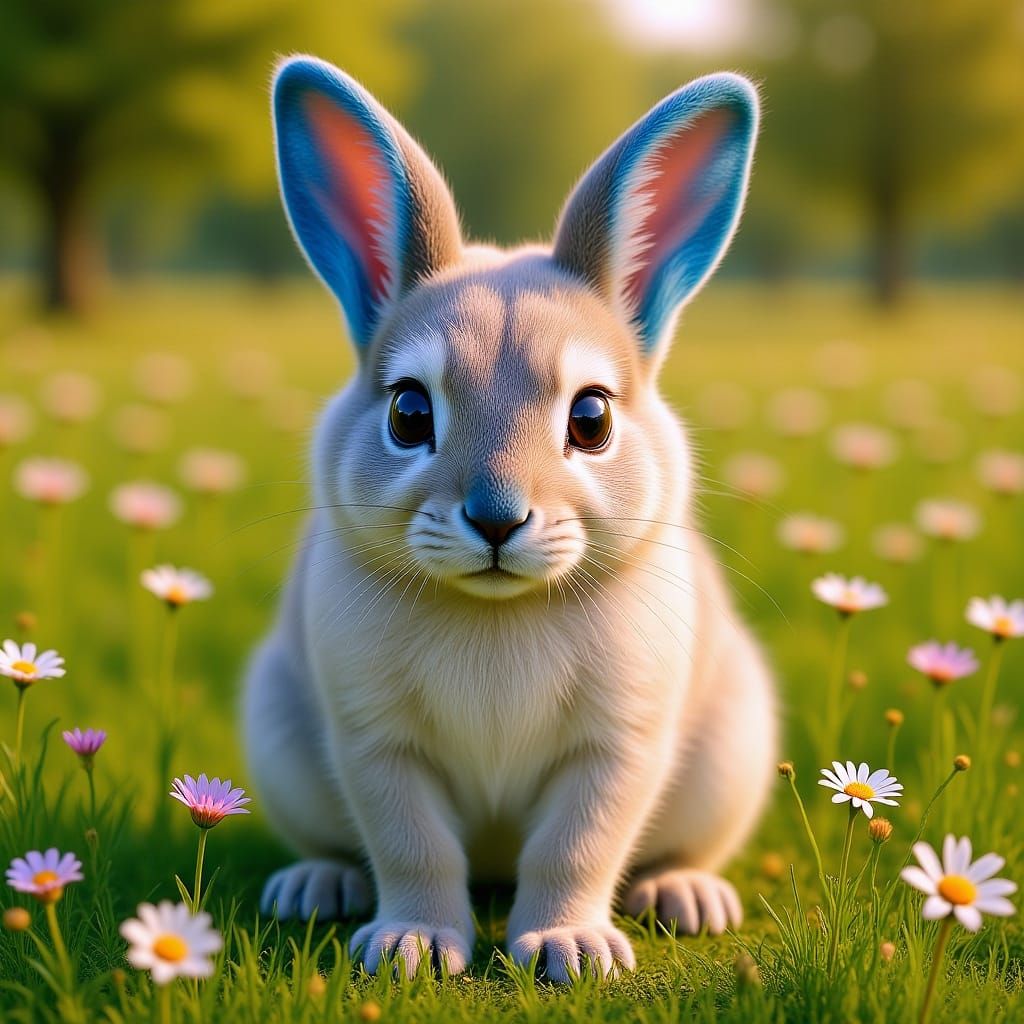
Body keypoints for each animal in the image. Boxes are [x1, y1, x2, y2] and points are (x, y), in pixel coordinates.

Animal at [243, 54, 777, 982]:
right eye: (408, 414)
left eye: (592, 418)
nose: (496, 518)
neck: (499, 613)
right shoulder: (375, 745)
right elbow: (412, 846)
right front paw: (413, 946)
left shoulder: (618, 747)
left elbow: (576, 847)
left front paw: (567, 950)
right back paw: (315, 886)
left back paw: (685, 896)